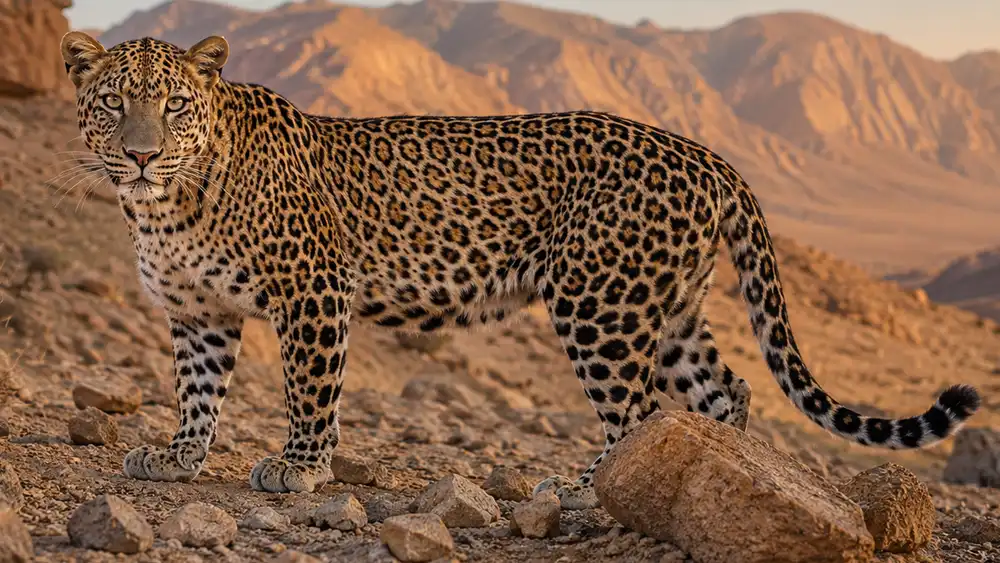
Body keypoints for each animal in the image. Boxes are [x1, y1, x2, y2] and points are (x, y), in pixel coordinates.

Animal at [59, 31, 981, 510]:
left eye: (175, 105)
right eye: (113, 103)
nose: (141, 154)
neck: (168, 205)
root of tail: (710, 155)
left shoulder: (314, 291)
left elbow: (310, 389)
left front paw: (301, 466)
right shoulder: (198, 312)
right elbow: (196, 390)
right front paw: (179, 456)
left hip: (600, 304)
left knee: (634, 411)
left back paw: (582, 488)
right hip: (670, 309)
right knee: (725, 392)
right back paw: (709, 477)